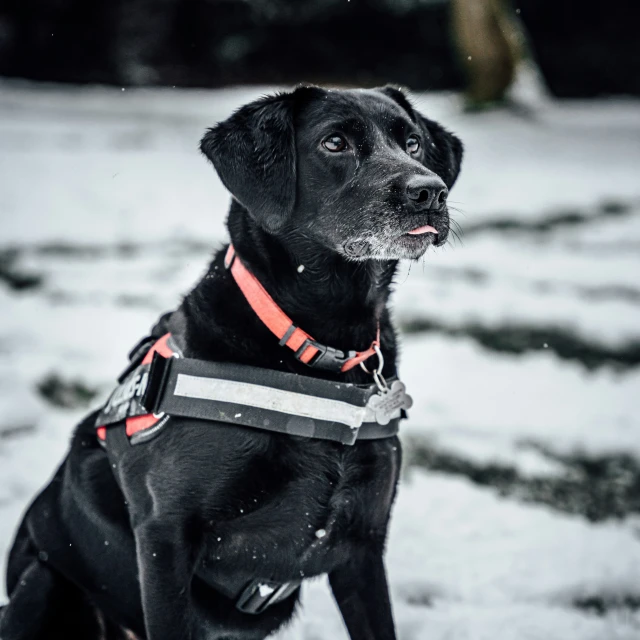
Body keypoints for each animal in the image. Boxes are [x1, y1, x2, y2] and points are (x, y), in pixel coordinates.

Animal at [0, 86, 460, 640]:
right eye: (334, 143)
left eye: (413, 143)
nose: (429, 191)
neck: (322, 347)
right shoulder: (164, 538)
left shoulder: (363, 544)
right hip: (41, 584)